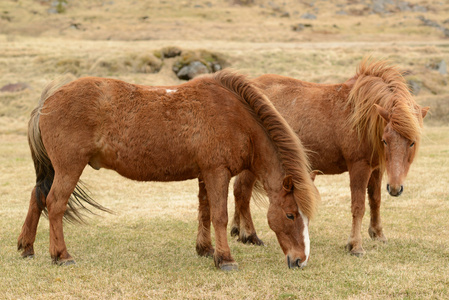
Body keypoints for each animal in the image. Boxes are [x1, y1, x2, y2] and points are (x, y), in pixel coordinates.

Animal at [16, 69, 318, 270]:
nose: (300, 260)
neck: (235, 117)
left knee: (36, 198)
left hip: (53, 170)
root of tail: (47, 102)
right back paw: (61, 255)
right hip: (69, 168)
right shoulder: (217, 172)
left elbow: (204, 211)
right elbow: (219, 215)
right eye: (290, 215)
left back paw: (27, 247)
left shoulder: (204, 174)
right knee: (55, 204)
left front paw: (206, 249)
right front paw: (225, 259)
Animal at [228, 58, 428, 255]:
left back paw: (238, 229)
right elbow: (358, 206)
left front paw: (378, 234)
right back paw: (250, 235)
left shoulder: (376, 168)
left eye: (412, 142)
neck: (362, 117)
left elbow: (375, 200)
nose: (395, 188)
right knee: (242, 192)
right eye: (385, 140)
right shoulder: (359, 167)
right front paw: (355, 245)